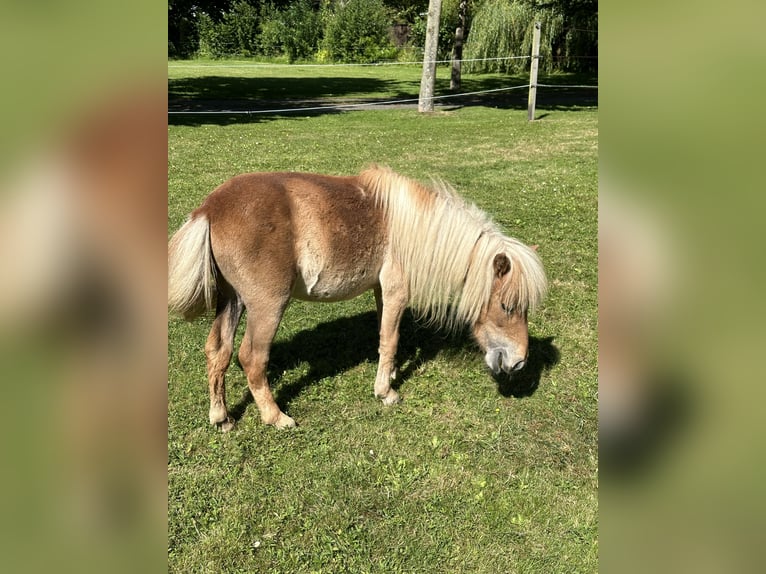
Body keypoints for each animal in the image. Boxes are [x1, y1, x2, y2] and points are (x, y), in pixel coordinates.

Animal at [171, 164, 548, 430]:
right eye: (507, 306)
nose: (518, 362)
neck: (409, 228)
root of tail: (211, 207)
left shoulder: (383, 292)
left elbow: (385, 337)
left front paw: (389, 376)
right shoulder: (396, 292)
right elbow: (391, 339)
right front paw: (386, 392)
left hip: (231, 300)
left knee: (218, 351)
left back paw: (221, 418)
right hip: (267, 307)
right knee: (251, 358)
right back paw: (277, 417)